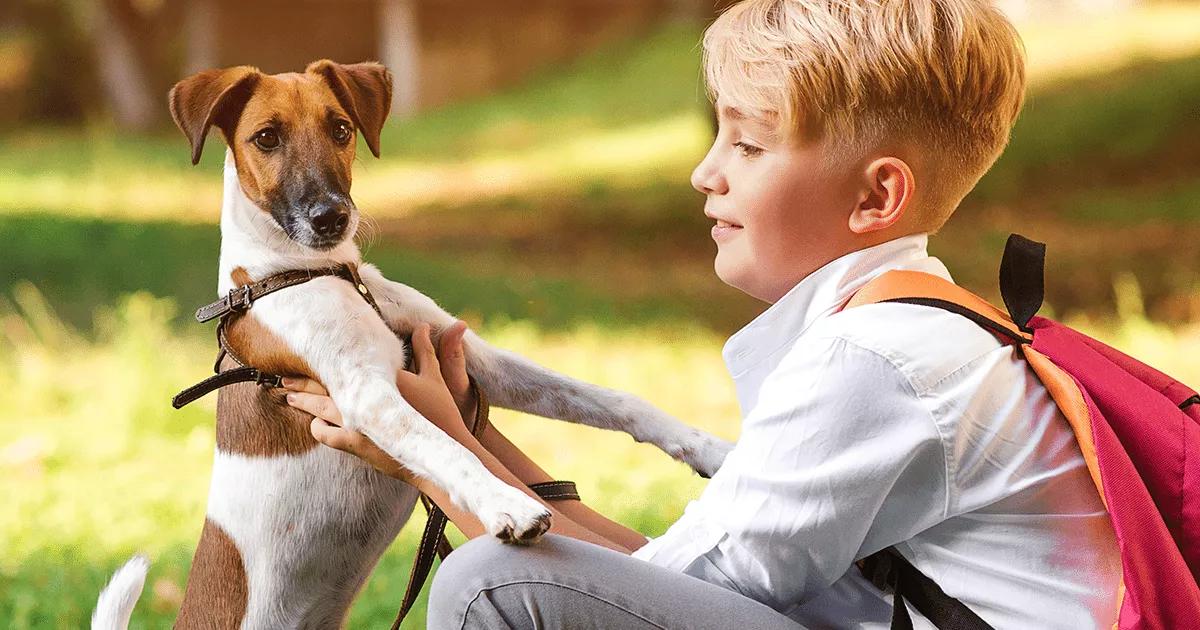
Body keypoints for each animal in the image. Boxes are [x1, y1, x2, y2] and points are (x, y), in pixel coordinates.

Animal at [88, 60, 729, 628]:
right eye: (265, 138)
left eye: (340, 129)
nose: (330, 217)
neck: (319, 271)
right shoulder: (364, 394)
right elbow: (448, 447)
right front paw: (508, 503)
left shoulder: (471, 358)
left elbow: (614, 401)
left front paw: (714, 450)